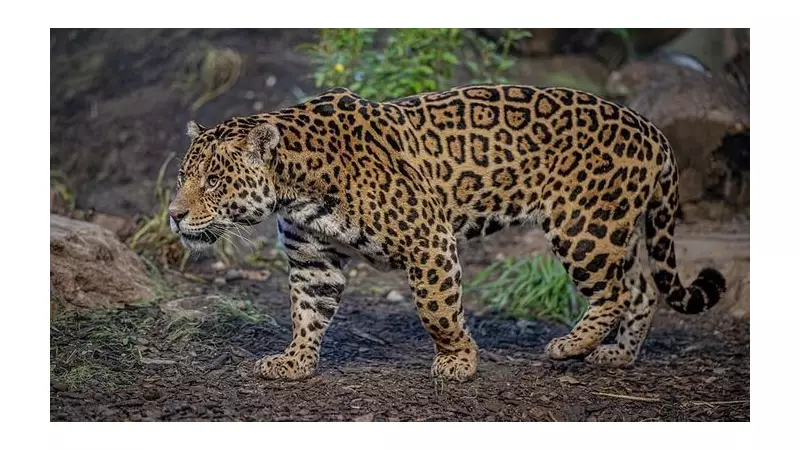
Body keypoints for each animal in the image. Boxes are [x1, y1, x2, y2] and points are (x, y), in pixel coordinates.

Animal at [168, 84, 726, 382]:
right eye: (182, 177)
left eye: (213, 181)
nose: (173, 214)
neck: (295, 184)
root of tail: (654, 131)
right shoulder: (313, 259)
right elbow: (307, 312)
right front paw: (296, 362)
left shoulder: (428, 240)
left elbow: (437, 311)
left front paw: (458, 361)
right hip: (616, 227)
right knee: (642, 288)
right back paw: (618, 355)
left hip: (585, 226)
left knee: (615, 292)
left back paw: (569, 347)